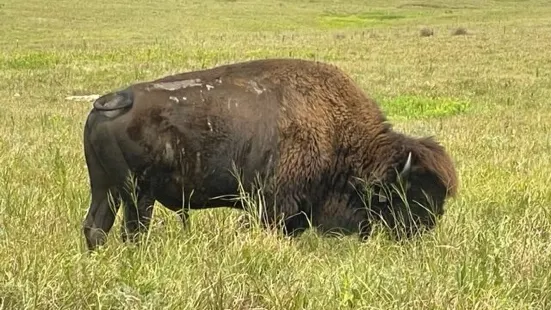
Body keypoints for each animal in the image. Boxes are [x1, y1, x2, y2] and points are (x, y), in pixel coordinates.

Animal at [82, 58, 460, 251]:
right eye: (412, 193)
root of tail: (114, 100)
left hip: (105, 189)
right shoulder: (275, 204)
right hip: (137, 195)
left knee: (95, 227)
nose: (425, 229)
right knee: (133, 231)